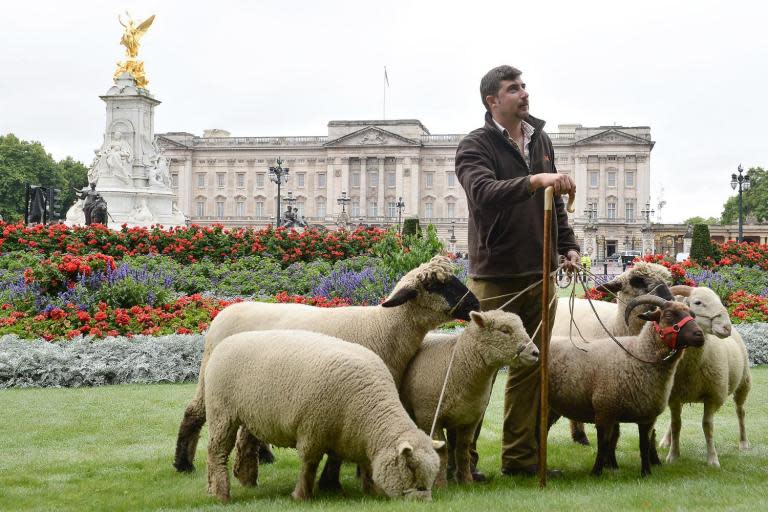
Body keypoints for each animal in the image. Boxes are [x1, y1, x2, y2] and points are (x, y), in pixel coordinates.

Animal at [204, 330, 440, 502]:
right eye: (410, 467)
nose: (424, 503)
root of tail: (226, 342)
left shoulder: (350, 437)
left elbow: (365, 466)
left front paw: (371, 491)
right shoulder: (312, 431)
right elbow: (309, 466)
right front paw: (301, 496)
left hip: (251, 414)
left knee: (245, 446)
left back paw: (240, 482)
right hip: (221, 413)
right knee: (216, 452)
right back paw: (221, 494)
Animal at [402, 310, 540, 486]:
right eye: (504, 330)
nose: (535, 353)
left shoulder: (469, 419)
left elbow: (463, 450)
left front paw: (467, 481)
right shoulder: (430, 416)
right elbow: (441, 452)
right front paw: (440, 485)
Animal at [548, 288, 704, 476]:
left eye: (692, 315)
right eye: (669, 315)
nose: (700, 335)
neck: (637, 354)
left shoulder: (646, 417)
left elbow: (644, 445)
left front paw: (646, 473)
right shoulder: (604, 411)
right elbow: (603, 445)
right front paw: (596, 473)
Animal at [656, 284, 752, 468]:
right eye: (698, 302)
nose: (726, 327)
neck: (691, 367)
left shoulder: (712, 396)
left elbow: (707, 426)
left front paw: (712, 460)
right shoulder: (674, 396)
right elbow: (676, 424)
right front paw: (673, 455)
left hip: (744, 382)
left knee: (741, 411)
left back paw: (744, 443)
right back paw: (666, 441)